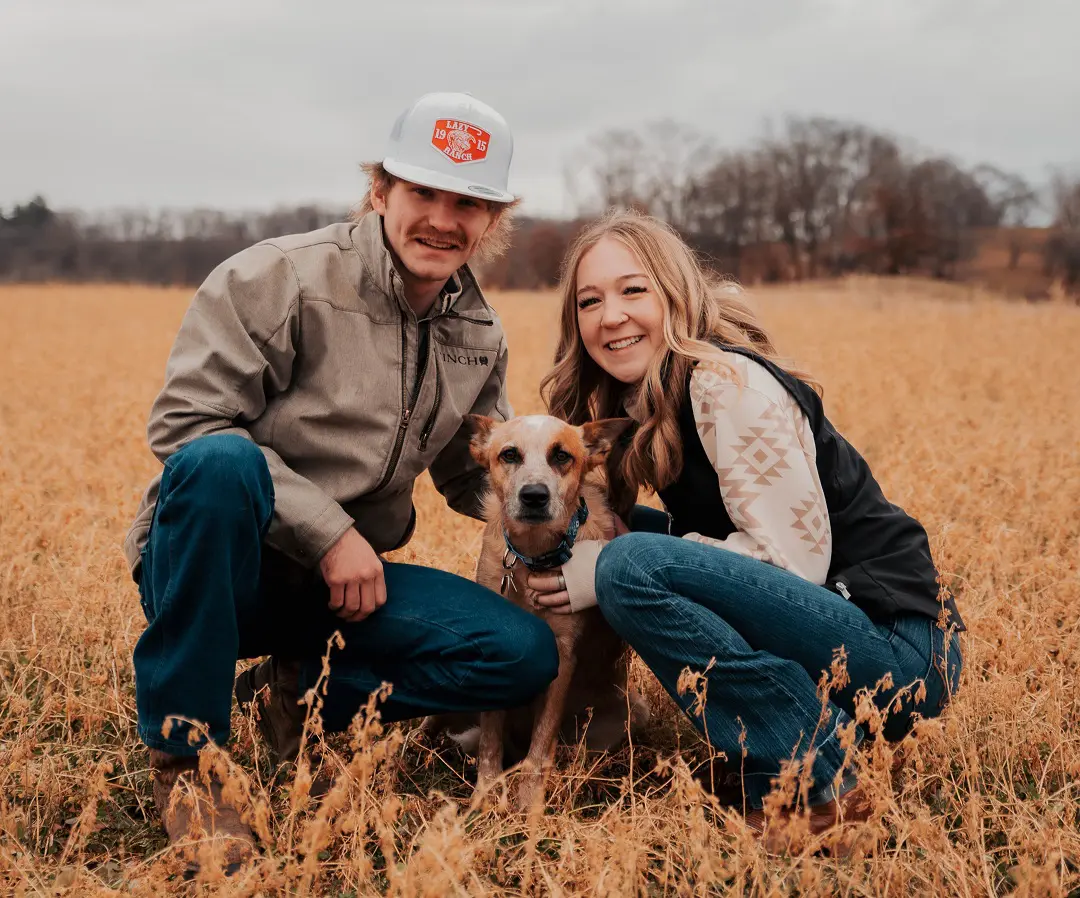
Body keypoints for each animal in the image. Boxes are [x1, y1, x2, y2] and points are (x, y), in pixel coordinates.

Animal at [438, 417, 648, 812]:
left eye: (562, 456)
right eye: (509, 454)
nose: (534, 495)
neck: (532, 556)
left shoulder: (562, 654)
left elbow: (540, 745)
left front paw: (529, 803)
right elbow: (490, 743)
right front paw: (486, 797)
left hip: (626, 715)